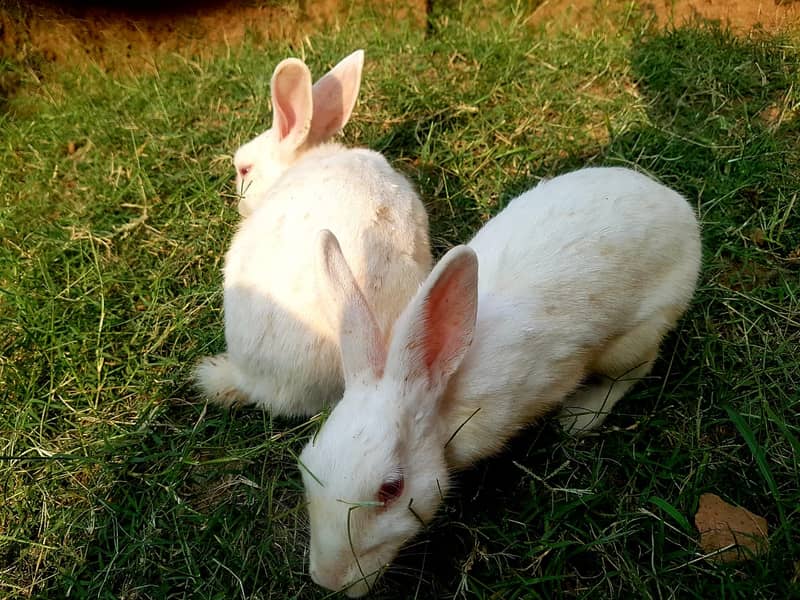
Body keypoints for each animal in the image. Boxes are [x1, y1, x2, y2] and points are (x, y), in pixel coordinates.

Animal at [300, 166, 700, 596]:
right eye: (306, 465)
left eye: (391, 489)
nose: (327, 580)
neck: (441, 397)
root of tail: (678, 209)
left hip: (636, 336)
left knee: (636, 370)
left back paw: (580, 416)